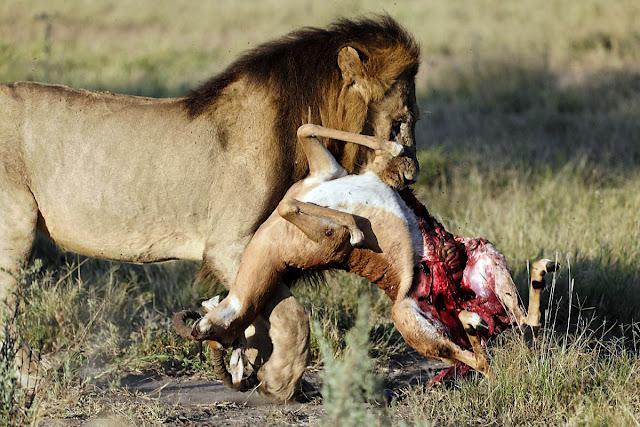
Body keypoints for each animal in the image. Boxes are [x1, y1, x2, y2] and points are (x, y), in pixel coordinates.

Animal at [0, 16, 420, 396]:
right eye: (400, 124)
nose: (412, 176)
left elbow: (257, 314)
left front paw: (252, 366)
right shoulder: (230, 244)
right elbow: (290, 314)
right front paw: (281, 382)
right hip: (15, 226)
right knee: (9, 306)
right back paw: (31, 379)